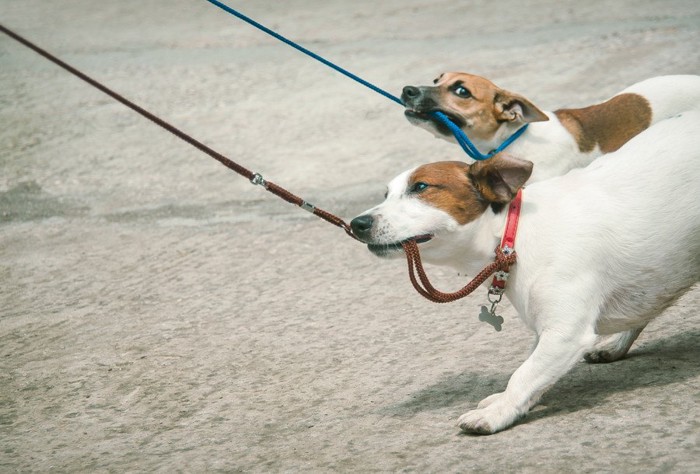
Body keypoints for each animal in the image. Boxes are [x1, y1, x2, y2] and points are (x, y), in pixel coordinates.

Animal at [350, 110, 700, 434]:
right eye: (386, 195)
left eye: (421, 187)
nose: (356, 223)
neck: (513, 234)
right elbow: (532, 373)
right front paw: (509, 402)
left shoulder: (565, 332)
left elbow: (524, 374)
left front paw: (497, 412)